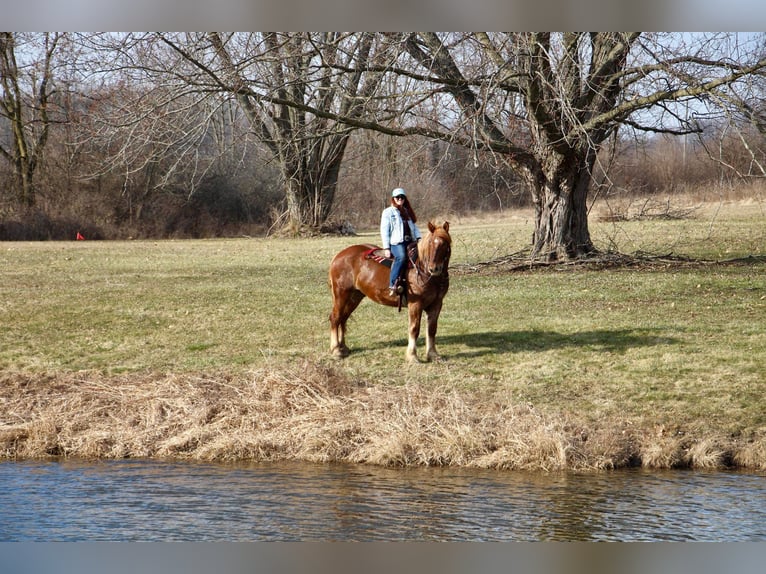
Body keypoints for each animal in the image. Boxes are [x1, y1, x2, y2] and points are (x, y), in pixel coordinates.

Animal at [328, 222, 450, 362]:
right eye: (430, 243)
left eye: (444, 244)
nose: (434, 268)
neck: (422, 270)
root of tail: (338, 256)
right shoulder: (415, 304)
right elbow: (414, 329)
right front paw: (412, 356)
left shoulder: (436, 304)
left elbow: (432, 329)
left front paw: (433, 354)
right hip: (341, 294)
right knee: (335, 318)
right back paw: (336, 350)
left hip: (354, 296)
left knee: (343, 318)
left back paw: (343, 347)